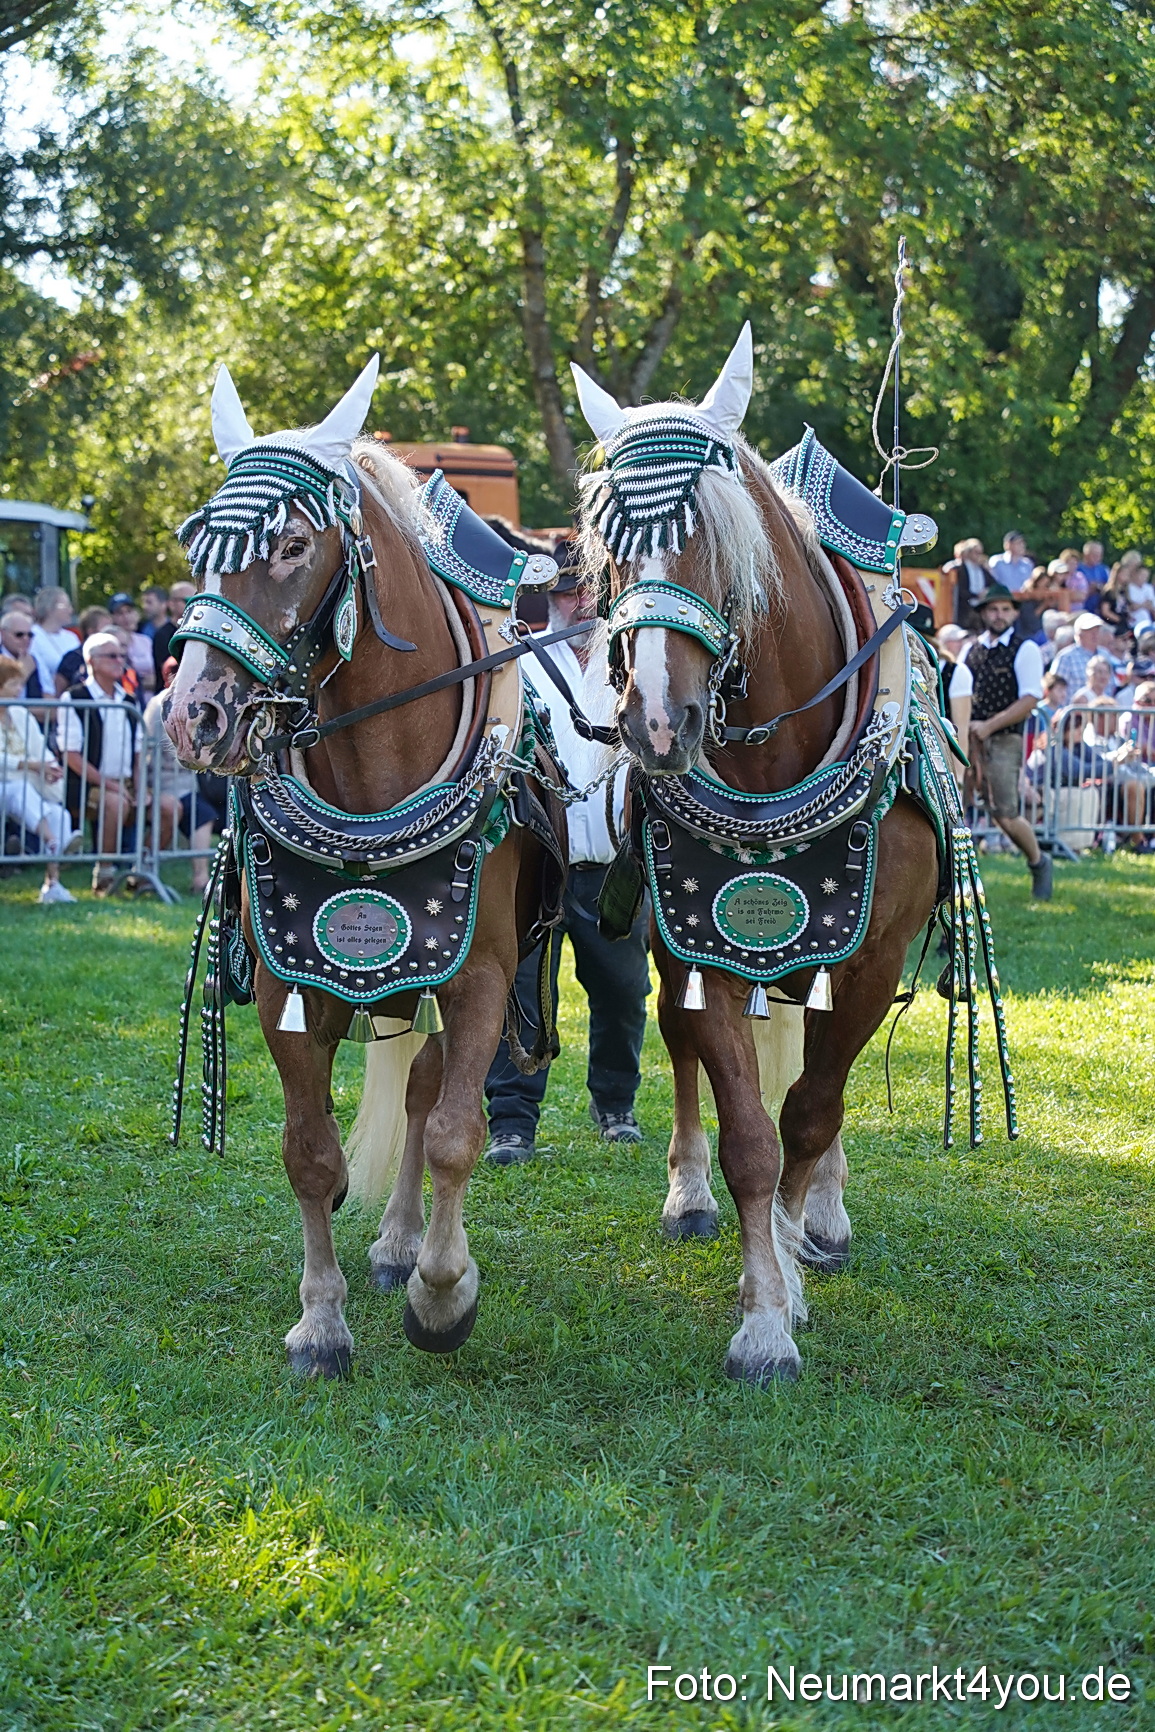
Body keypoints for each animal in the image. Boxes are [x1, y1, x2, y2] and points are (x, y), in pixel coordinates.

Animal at [164, 357, 555, 1377]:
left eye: (292, 543)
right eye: (197, 545)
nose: (192, 718)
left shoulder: (480, 975)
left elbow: (456, 1133)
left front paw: (442, 1296)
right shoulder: (287, 983)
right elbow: (309, 1152)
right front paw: (321, 1322)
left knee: (427, 1094)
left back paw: (407, 1246)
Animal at [571, 328, 941, 1385]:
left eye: (709, 533)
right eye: (605, 547)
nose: (658, 724)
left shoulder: (870, 959)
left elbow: (811, 1113)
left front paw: (789, 1245)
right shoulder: (707, 947)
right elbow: (748, 1136)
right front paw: (765, 1313)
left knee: (825, 1092)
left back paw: (823, 1217)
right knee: (677, 1043)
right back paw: (691, 1198)